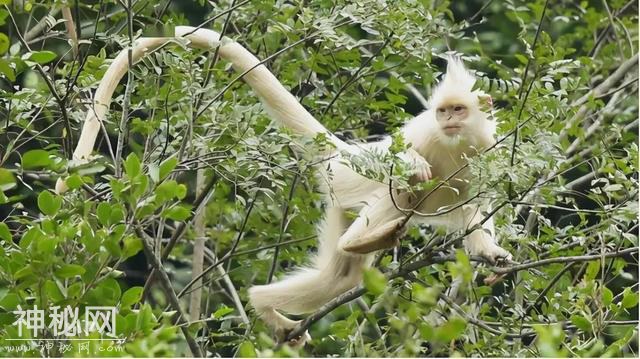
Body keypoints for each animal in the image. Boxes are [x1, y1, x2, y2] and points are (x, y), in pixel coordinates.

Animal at [57, 27, 512, 344]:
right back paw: (353, 244)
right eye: (443, 111)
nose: (448, 119)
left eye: (458, 110)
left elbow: (479, 206)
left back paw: (273, 298)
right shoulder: (425, 132)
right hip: (350, 181)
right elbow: (404, 163)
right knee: (397, 191)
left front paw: (492, 255)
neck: (454, 142)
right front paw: (413, 163)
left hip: (341, 200)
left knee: (340, 279)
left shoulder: (488, 147)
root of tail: (339, 156)